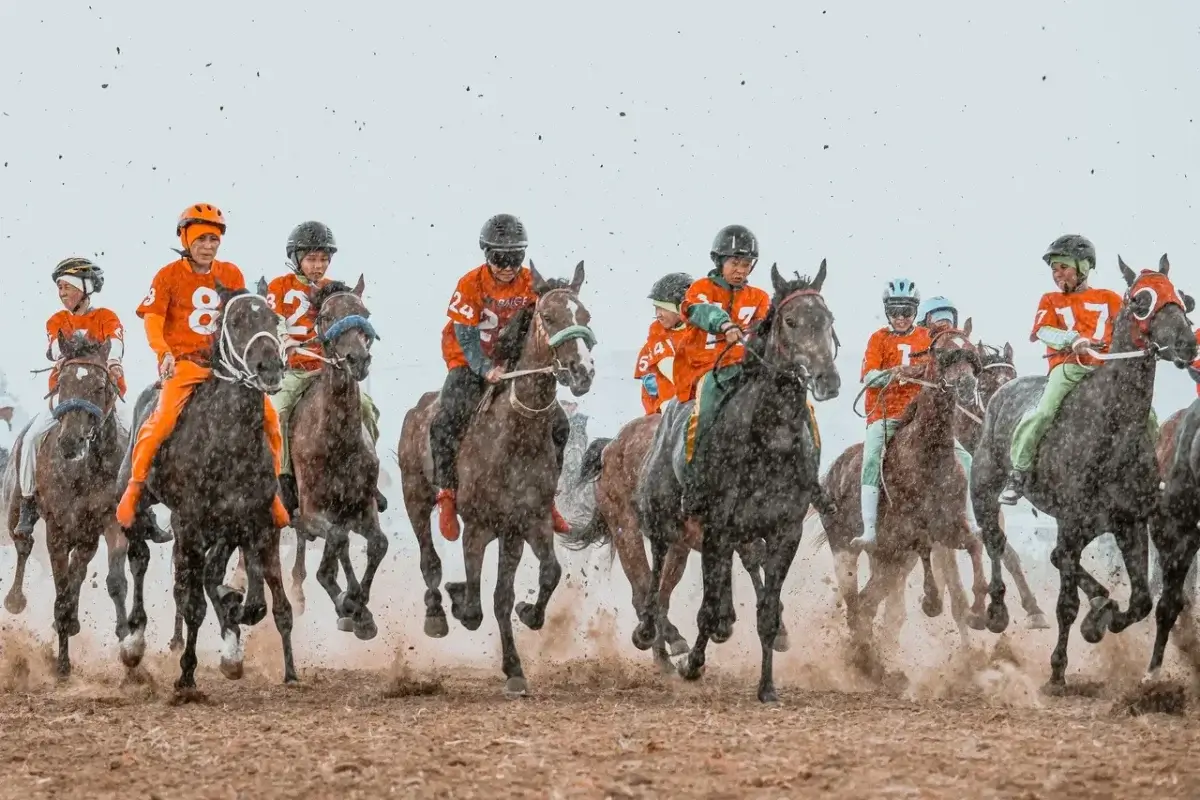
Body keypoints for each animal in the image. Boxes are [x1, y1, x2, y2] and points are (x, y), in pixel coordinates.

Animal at [2, 335, 126, 681]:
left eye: (101, 386)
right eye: (63, 383)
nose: (70, 442)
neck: (83, 469)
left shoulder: (97, 527)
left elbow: (83, 581)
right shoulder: (57, 531)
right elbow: (60, 592)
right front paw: (62, 665)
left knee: (77, 575)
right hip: (14, 506)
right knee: (23, 543)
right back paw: (15, 599)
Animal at [115, 286, 298, 695]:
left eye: (272, 319)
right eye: (236, 321)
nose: (270, 368)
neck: (227, 438)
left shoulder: (251, 520)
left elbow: (256, 602)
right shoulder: (189, 524)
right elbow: (193, 603)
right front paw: (186, 677)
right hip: (137, 500)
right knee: (139, 557)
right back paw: (134, 642)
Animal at [398, 261, 595, 695]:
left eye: (586, 317)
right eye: (549, 317)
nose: (582, 372)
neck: (514, 436)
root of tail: (419, 407)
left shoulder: (524, 524)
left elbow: (531, 584)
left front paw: (521, 646)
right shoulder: (479, 526)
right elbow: (474, 605)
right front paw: (458, 601)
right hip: (414, 495)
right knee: (429, 558)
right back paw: (437, 612)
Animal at [820, 326, 988, 671]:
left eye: (972, 355)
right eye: (944, 353)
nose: (966, 386)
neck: (929, 456)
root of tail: (832, 472)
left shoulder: (949, 527)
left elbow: (975, 545)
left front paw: (980, 611)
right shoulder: (912, 531)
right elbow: (924, 547)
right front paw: (932, 600)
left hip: (889, 560)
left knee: (868, 605)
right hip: (845, 549)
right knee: (855, 602)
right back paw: (864, 658)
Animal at [969, 257, 1195, 695]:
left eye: (1180, 297)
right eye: (1140, 300)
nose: (1187, 344)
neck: (1111, 431)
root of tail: (1000, 391)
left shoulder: (1129, 521)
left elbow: (1140, 600)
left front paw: (1102, 619)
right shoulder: (1073, 521)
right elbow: (1067, 600)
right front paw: (1059, 668)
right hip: (985, 486)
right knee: (996, 540)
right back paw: (997, 608)